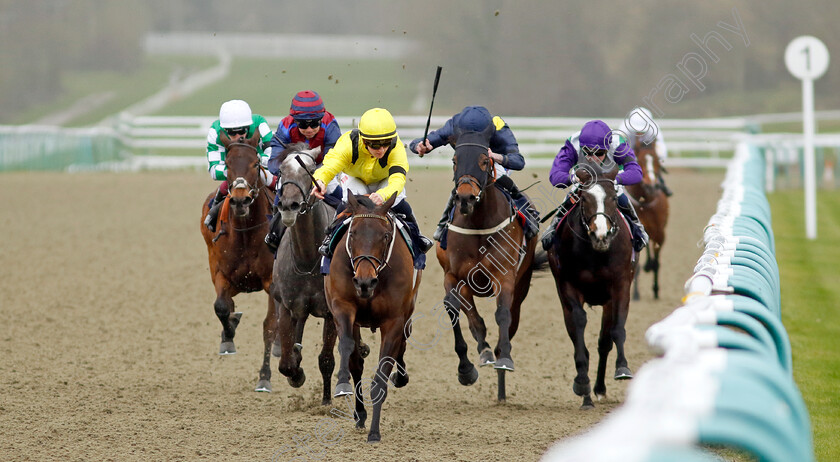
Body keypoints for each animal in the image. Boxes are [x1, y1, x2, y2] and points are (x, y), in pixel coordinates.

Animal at [199, 132, 276, 392]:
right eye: (228, 164)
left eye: (255, 163)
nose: (240, 201)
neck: (245, 232)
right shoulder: (220, 273)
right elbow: (221, 307)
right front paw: (229, 332)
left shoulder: (273, 281)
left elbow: (270, 325)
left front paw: (264, 376)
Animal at [326, 192, 424, 444]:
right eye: (352, 233)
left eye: (386, 236)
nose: (364, 282)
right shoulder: (342, 306)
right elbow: (348, 348)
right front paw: (342, 383)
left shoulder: (394, 322)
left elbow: (382, 374)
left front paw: (374, 432)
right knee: (356, 362)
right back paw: (360, 414)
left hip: (407, 313)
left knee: (403, 344)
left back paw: (400, 377)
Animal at [436, 130, 540, 400]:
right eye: (454, 160)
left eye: (485, 161)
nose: (465, 197)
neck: (479, 225)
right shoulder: (453, 276)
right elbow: (459, 311)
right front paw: (467, 368)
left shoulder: (504, 277)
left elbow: (502, 313)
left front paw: (504, 358)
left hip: (522, 284)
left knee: (511, 317)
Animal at [548, 166, 632, 408]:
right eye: (584, 198)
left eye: (613, 197)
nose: (600, 235)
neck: (596, 254)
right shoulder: (567, 285)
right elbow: (578, 325)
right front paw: (582, 383)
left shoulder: (621, 285)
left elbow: (617, 329)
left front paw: (622, 368)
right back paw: (586, 394)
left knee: (604, 342)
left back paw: (600, 388)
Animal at [624, 137, 668, 300]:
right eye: (640, 160)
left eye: (656, 160)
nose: (651, 186)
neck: (645, 201)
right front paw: (636, 294)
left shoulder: (660, 232)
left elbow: (657, 260)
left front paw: (656, 289)